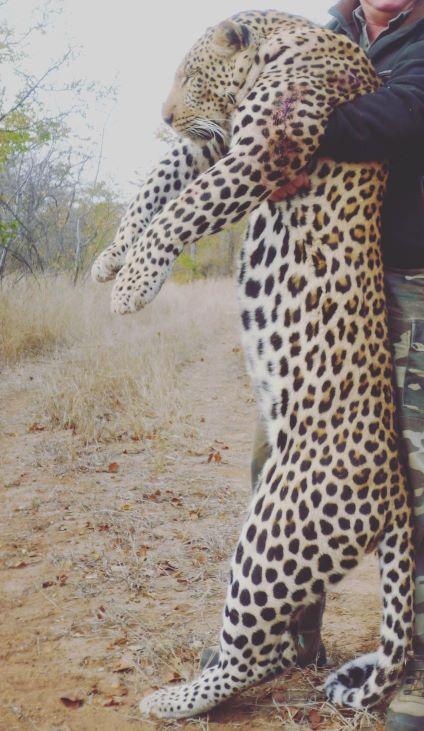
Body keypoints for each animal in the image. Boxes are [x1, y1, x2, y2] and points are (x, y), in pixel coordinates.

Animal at [91, 10, 414, 720]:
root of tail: (397, 491)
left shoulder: (266, 146)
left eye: (188, 74)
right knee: (278, 643)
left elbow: (180, 209)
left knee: (256, 652)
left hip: (276, 528)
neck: (281, 40)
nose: (164, 112)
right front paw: (111, 258)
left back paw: (172, 701)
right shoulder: (217, 143)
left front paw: (132, 286)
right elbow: (157, 182)